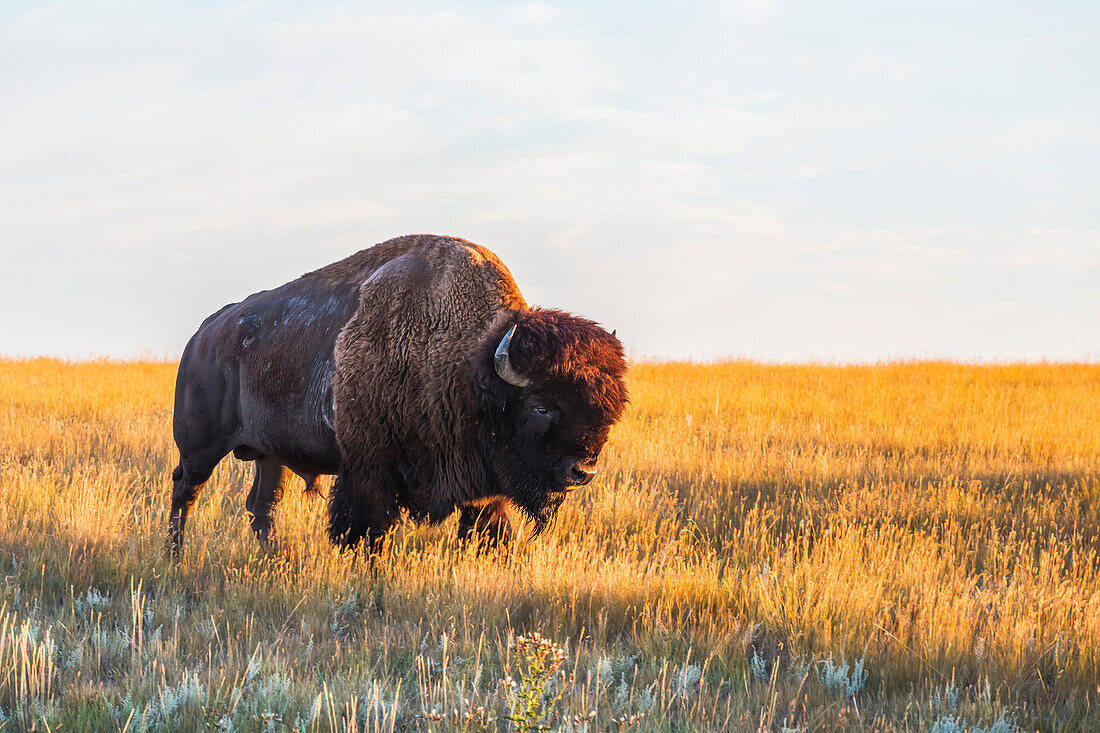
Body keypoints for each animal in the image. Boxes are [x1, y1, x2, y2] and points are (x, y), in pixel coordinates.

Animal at [165, 236, 629, 550]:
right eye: (541, 406)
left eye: (607, 409)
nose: (582, 472)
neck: (467, 361)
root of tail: (204, 334)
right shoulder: (369, 471)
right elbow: (369, 531)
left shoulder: (484, 485)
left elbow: (490, 532)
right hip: (200, 445)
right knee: (186, 488)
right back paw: (175, 555)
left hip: (269, 455)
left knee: (262, 507)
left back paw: (273, 562)